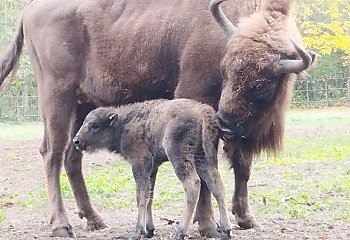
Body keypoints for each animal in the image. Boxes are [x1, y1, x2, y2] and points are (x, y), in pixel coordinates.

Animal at [72, 98, 231, 239]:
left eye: (95, 125)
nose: (76, 141)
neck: (124, 124)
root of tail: (202, 110)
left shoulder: (141, 163)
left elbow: (141, 197)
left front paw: (137, 232)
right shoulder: (153, 168)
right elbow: (149, 196)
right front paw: (149, 230)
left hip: (179, 157)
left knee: (192, 184)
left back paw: (180, 232)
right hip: (204, 158)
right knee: (217, 185)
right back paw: (226, 230)